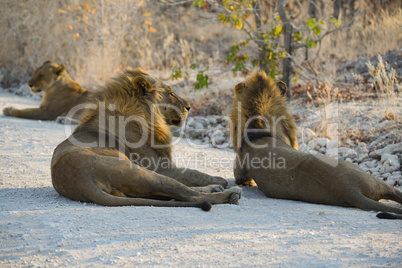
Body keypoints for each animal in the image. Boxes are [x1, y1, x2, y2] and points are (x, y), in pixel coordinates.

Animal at [52, 68, 242, 210]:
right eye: (171, 94)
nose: (189, 107)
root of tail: (82, 181)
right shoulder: (161, 166)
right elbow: (191, 172)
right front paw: (220, 180)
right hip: (143, 172)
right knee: (189, 195)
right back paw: (230, 193)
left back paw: (215, 189)